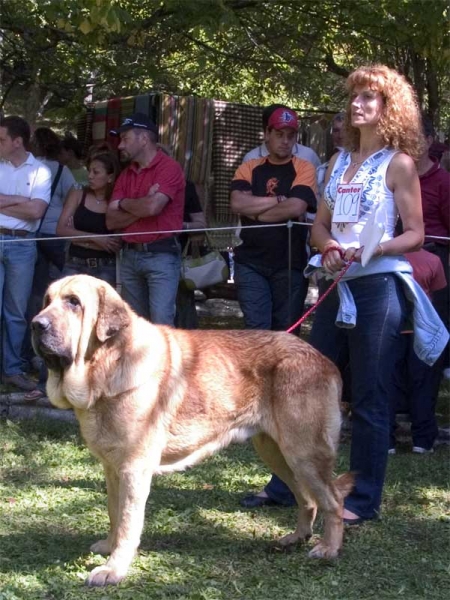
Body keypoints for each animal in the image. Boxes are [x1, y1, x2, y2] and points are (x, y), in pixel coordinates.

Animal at [32, 276, 352, 584]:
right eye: (47, 300)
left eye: (74, 302)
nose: (36, 324)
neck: (107, 366)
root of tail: (323, 359)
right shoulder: (112, 468)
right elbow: (114, 512)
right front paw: (109, 548)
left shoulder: (134, 470)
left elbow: (127, 522)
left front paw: (114, 569)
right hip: (276, 453)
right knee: (308, 499)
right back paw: (296, 538)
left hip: (304, 453)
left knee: (333, 501)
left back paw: (329, 548)